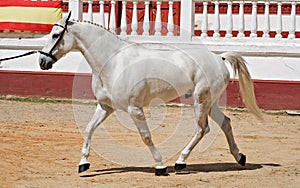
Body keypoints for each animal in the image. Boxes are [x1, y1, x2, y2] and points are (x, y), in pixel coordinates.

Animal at [38, 13, 262, 176]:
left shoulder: (134, 109)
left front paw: (160, 166)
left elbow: (146, 137)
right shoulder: (105, 107)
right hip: (210, 103)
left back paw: (180, 162)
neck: (113, 62)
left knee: (202, 129)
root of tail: (218, 58)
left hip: (200, 102)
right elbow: (88, 129)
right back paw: (239, 157)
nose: (42, 61)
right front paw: (83, 163)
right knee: (225, 123)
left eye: (56, 35)